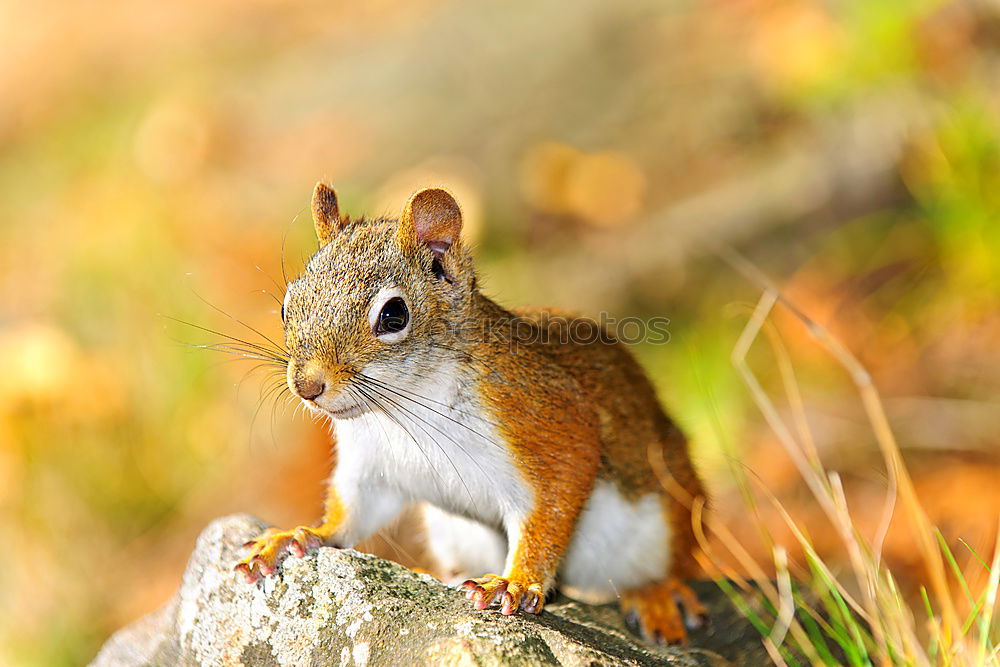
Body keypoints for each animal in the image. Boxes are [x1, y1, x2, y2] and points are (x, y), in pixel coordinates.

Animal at [235, 185, 708, 644]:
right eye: (287, 305)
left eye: (394, 315)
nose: (307, 385)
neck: (404, 406)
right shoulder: (372, 466)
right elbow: (351, 514)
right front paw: (301, 534)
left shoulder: (546, 418)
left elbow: (553, 504)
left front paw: (515, 582)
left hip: (663, 519)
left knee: (672, 565)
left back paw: (657, 594)